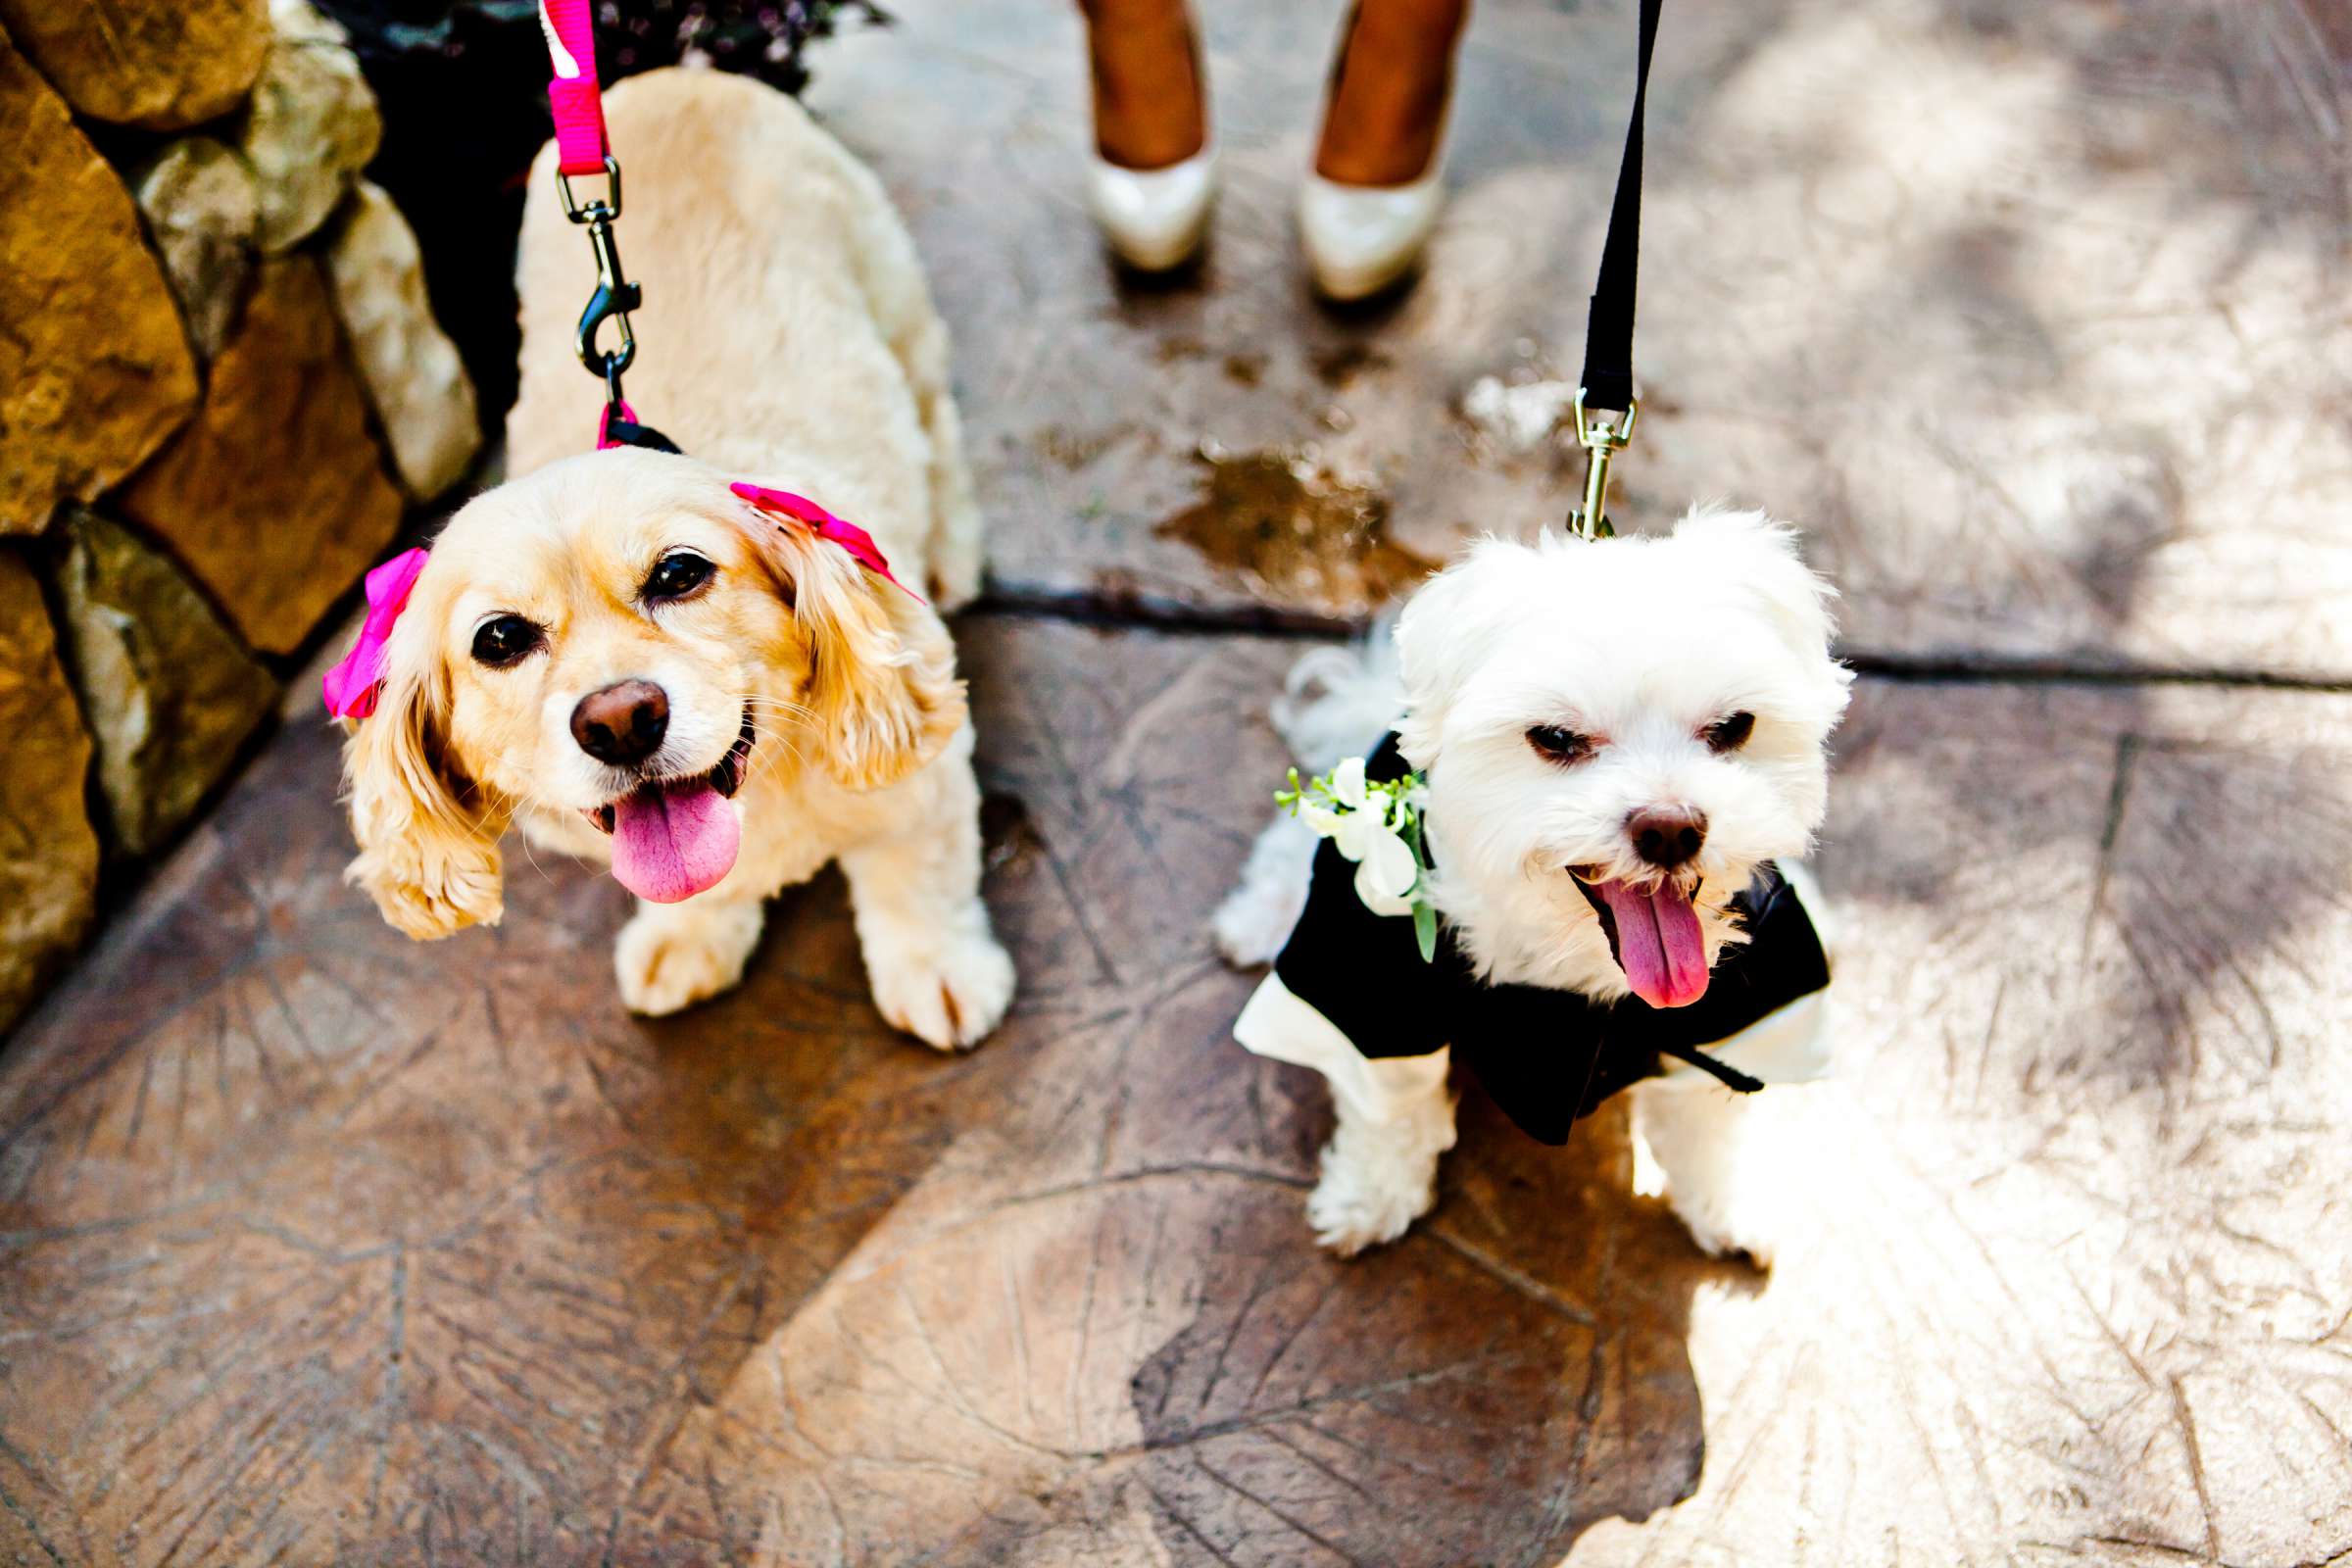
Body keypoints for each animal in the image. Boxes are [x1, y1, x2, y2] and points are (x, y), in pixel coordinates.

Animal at [336, 67, 1015, 1048]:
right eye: (499, 640)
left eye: (679, 574)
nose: (620, 720)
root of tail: (675, 75)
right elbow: (694, 896)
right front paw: (686, 940)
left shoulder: (920, 777)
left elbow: (915, 878)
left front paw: (940, 972)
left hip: (898, 304)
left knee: (937, 423)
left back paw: (955, 550)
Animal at [1213, 510, 1853, 1259]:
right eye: (1554, 738)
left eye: (1732, 728)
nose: (1670, 828)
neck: (1574, 970)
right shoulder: (1371, 978)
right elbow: (1390, 1111)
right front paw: (1370, 1196)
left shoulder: (1749, 1003)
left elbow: (1707, 1126)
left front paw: (1729, 1206)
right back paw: (1259, 918)